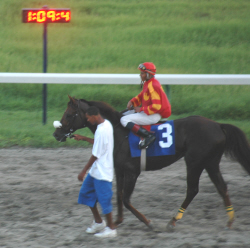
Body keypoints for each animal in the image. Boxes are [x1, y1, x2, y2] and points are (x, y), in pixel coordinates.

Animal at [52, 95, 250, 231]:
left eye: (68, 114)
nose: (56, 134)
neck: (117, 132)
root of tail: (218, 125)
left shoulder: (133, 171)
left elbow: (126, 199)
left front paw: (147, 222)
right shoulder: (120, 169)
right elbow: (119, 196)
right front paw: (117, 221)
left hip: (194, 161)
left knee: (193, 189)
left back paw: (173, 221)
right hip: (210, 162)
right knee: (222, 187)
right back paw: (230, 220)